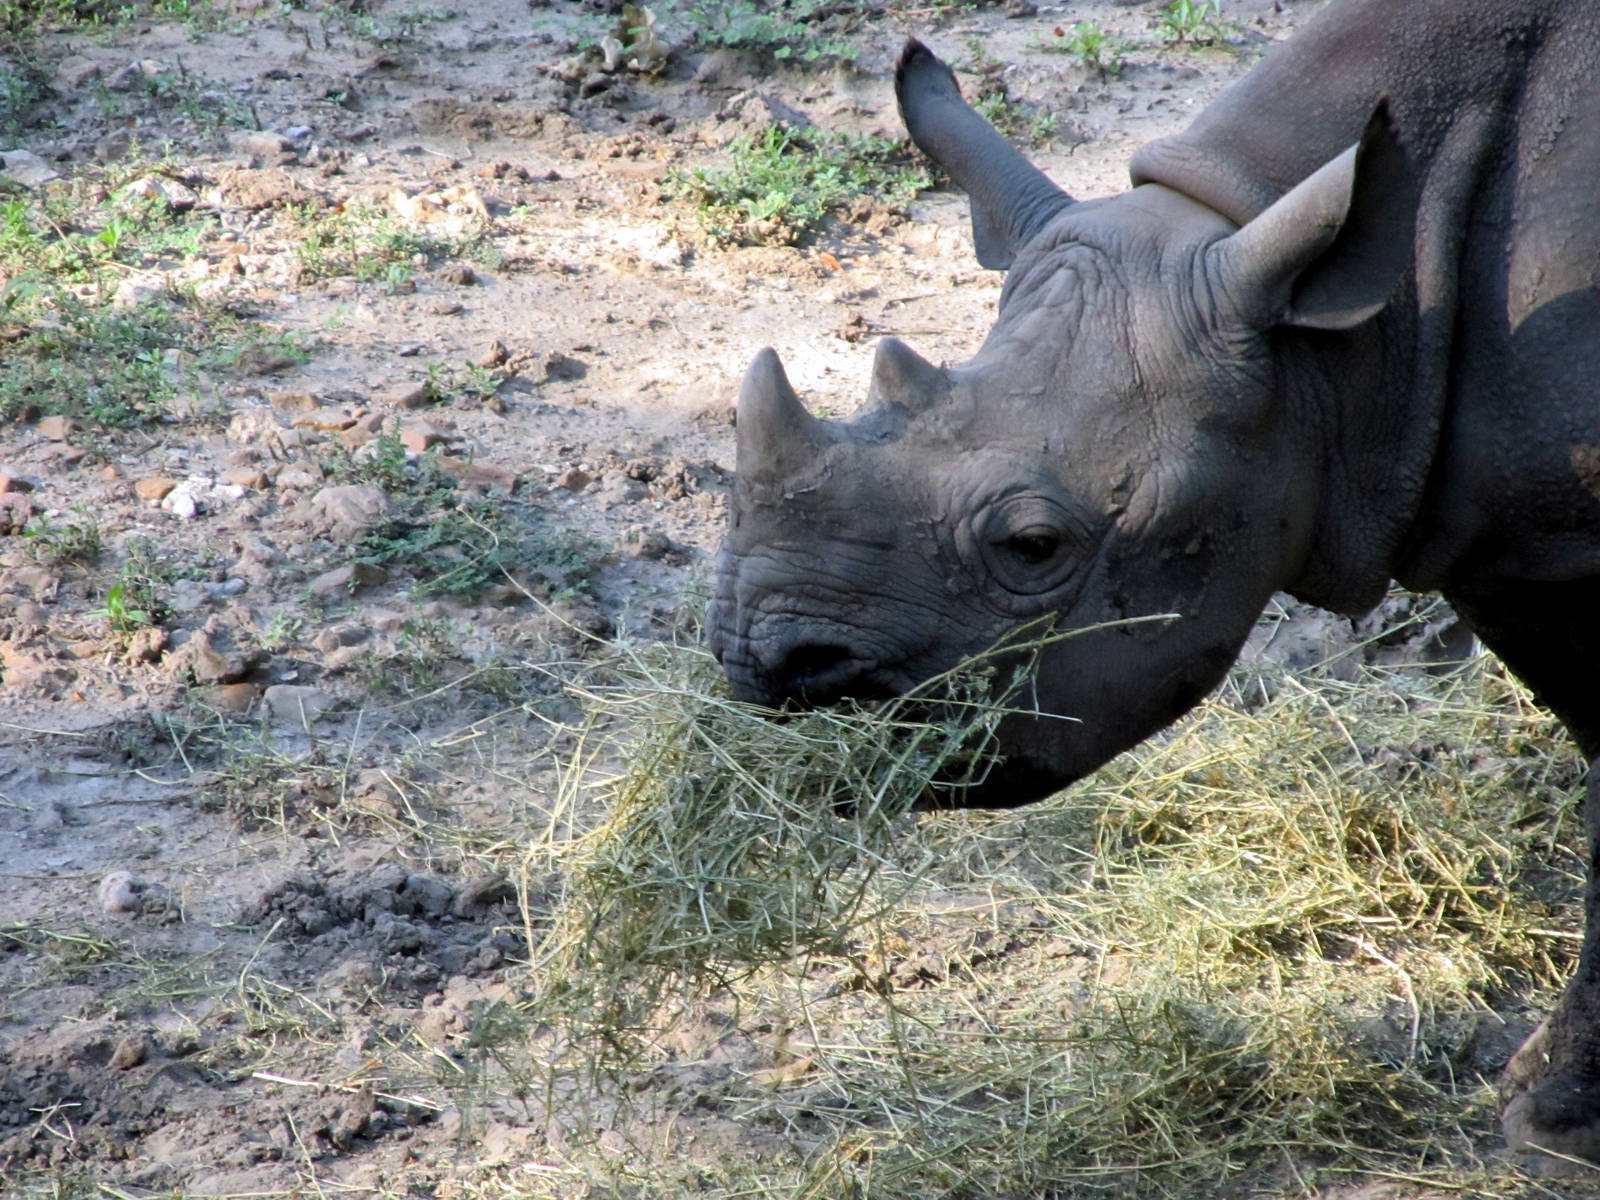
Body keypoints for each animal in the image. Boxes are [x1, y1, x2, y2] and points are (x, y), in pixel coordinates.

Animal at [707, 0, 1600, 1163]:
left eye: (1032, 545)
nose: (756, 664)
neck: (1341, 344)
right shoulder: (1506, 533)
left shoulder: (1552, 535)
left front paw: (1550, 1121)